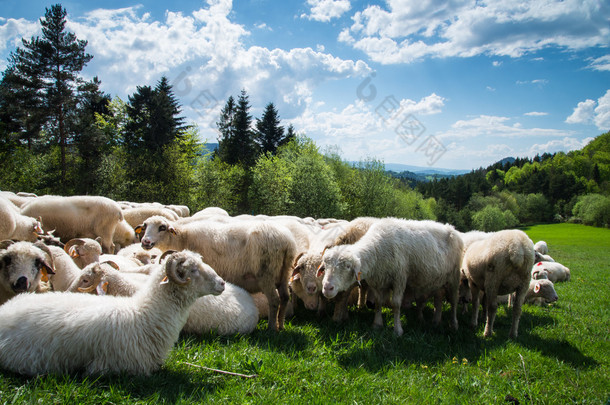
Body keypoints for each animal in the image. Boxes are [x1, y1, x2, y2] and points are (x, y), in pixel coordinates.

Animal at [138, 216, 300, 330]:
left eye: (162, 227)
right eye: (144, 226)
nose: (145, 242)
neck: (183, 237)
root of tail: (288, 242)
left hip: (266, 274)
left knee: (274, 300)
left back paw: (271, 328)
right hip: (284, 273)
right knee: (285, 297)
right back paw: (281, 325)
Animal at [318, 218, 460, 334]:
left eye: (347, 266)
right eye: (325, 266)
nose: (327, 288)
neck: (378, 247)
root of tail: (450, 227)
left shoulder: (399, 278)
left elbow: (396, 304)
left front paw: (398, 330)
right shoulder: (378, 281)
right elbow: (378, 302)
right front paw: (377, 324)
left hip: (454, 278)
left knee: (454, 302)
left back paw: (454, 324)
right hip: (436, 281)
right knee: (436, 298)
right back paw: (428, 320)